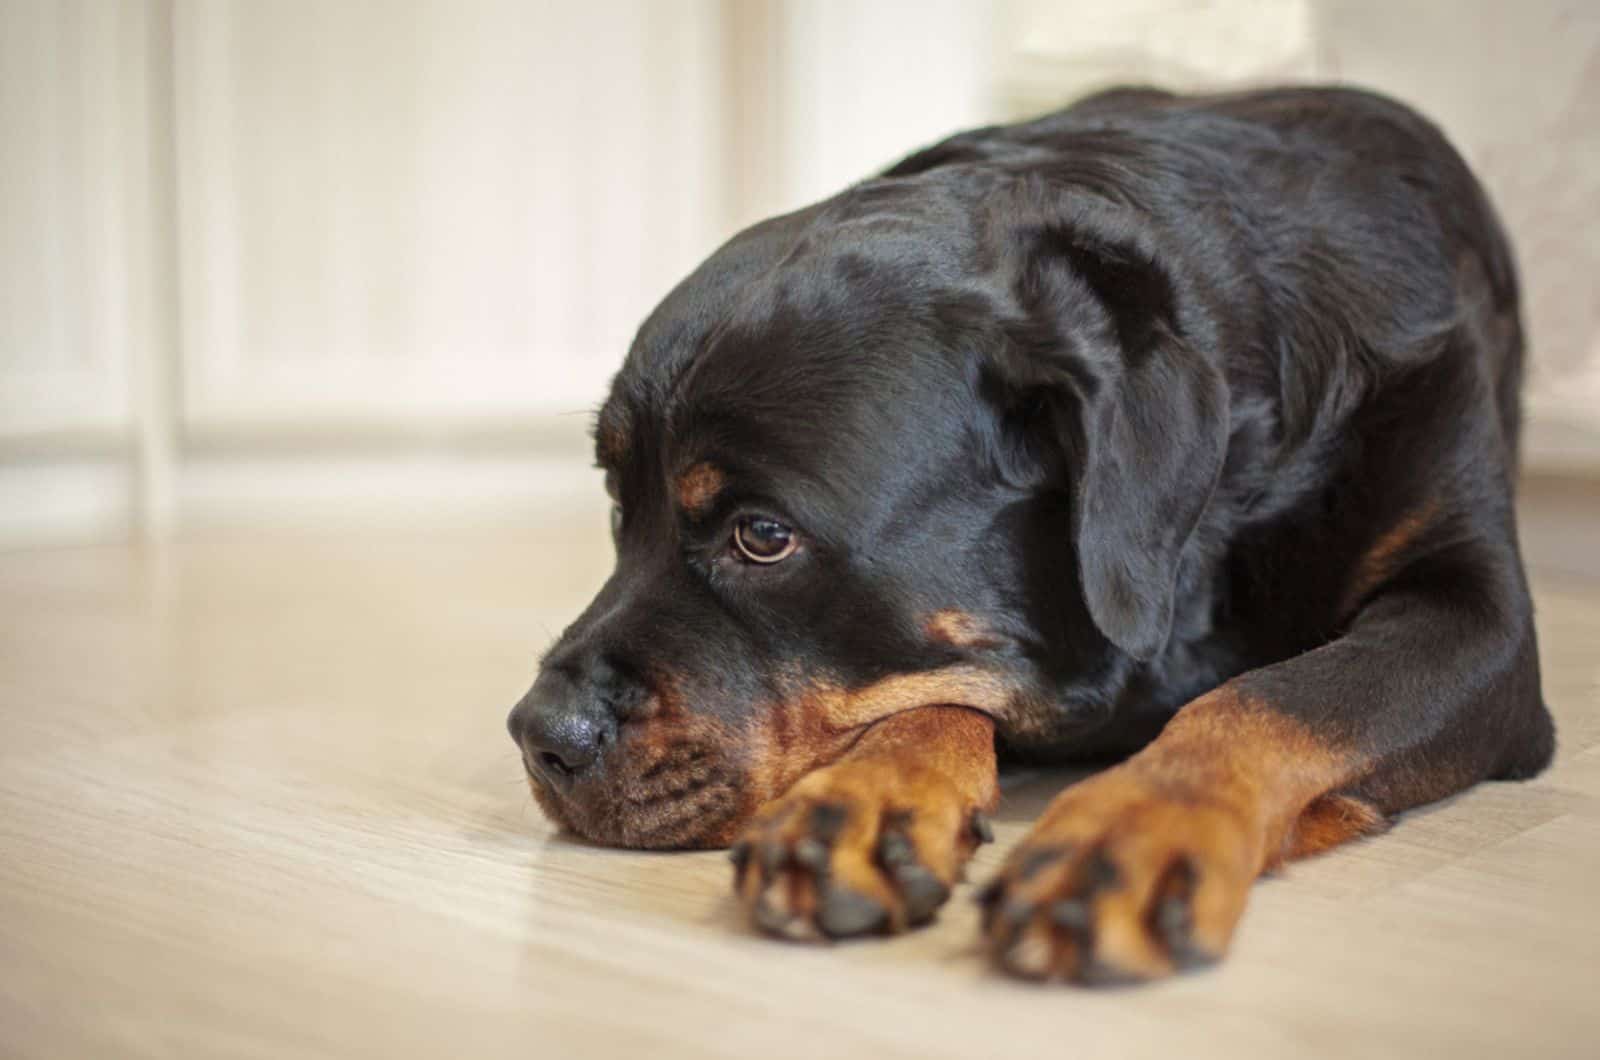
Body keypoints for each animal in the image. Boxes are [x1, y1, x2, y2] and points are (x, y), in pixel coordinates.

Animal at [505, 85, 1555, 986]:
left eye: (762, 536)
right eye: (617, 504)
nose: (541, 735)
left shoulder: (1477, 623)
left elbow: (1285, 694)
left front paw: (1131, 827)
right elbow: (943, 692)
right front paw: (870, 792)